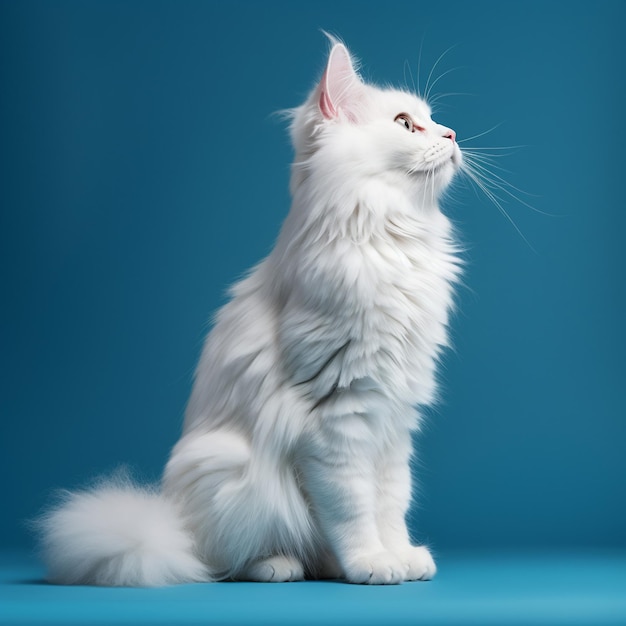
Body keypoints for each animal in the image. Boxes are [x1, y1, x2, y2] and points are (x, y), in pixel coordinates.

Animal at [40, 39, 458, 584]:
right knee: (223, 561)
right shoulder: (338, 418)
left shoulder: (393, 417)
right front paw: (372, 563)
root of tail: (172, 523)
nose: (453, 134)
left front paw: (401, 554)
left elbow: (391, 500)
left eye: (431, 120)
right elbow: (354, 507)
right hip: (232, 470)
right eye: (406, 123)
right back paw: (279, 565)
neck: (392, 238)